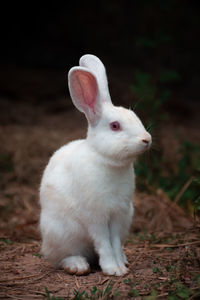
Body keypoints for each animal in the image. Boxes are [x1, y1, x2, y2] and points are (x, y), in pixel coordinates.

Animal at [39, 54, 151, 276]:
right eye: (115, 126)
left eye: (136, 118)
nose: (147, 139)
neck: (106, 160)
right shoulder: (95, 216)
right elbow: (104, 243)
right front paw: (113, 269)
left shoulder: (118, 215)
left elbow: (114, 242)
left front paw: (120, 267)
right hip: (61, 232)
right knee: (60, 257)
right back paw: (77, 266)